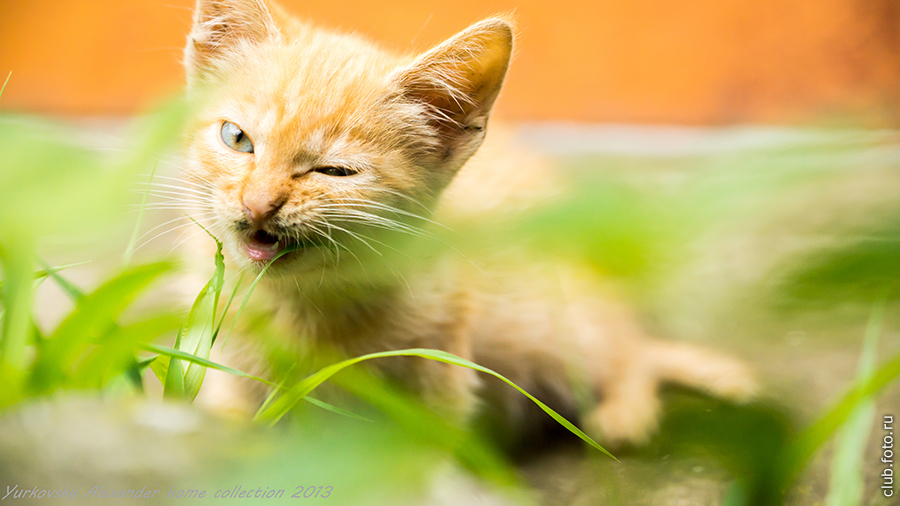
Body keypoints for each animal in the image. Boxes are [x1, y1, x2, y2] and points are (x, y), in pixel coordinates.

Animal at [179, 0, 756, 444]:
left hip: (561, 326)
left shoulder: (443, 359)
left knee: (631, 354)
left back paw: (625, 412)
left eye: (335, 171)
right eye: (237, 138)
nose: (258, 205)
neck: (304, 306)